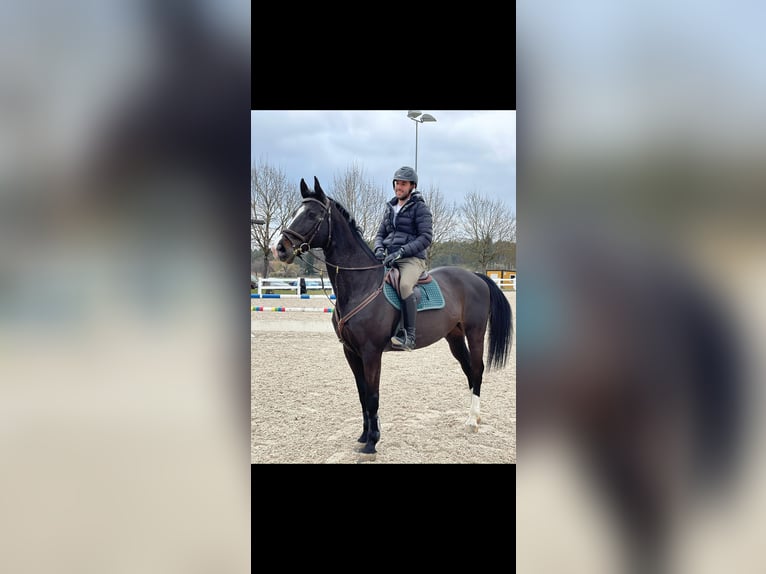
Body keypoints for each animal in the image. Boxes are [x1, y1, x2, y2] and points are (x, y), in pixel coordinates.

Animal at [275, 176, 514, 455]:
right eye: (295, 212)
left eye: (312, 214)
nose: (281, 249)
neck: (362, 284)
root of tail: (475, 276)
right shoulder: (351, 352)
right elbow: (362, 395)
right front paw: (364, 436)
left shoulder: (371, 352)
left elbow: (372, 396)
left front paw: (372, 443)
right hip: (454, 336)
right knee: (468, 370)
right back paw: (472, 417)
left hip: (475, 333)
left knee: (477, 369)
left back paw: (472, 421)